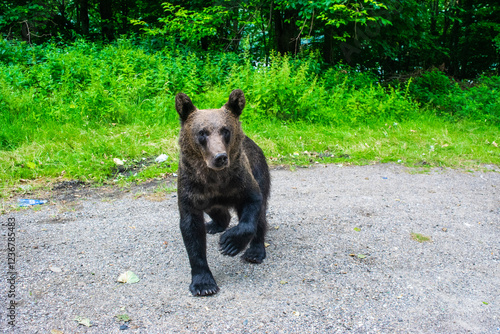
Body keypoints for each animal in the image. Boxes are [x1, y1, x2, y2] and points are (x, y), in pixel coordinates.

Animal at [175, 89, 270, 298]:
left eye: (225, 130)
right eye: (202, 133)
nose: (220, 157)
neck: (215, 179)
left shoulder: (242, 180)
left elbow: (254, 203)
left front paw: (230, 243)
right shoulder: (191, 189)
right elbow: (191, 231)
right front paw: (204, 284)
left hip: (260, 168)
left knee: (260, 216)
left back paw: (255, 251)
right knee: (216, 209)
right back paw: (214, 225)